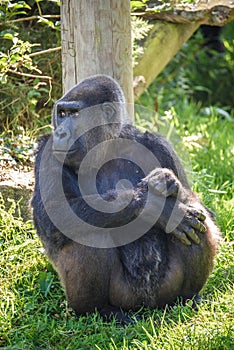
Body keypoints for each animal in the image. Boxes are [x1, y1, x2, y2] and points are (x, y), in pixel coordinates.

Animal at [31, 75, 221, 322]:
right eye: (61, 114)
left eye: (74, 114)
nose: (60, 133)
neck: (107, 145)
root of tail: (146, 307)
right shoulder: (48, 150)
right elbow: (54, 214)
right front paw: (153, 206)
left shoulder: (159, 144)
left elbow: (203, 209)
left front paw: (169, 186)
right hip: (122, 297)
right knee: (88, 230)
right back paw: (98, 310)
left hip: (165, 292)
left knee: (198, 226)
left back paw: (187, 298)